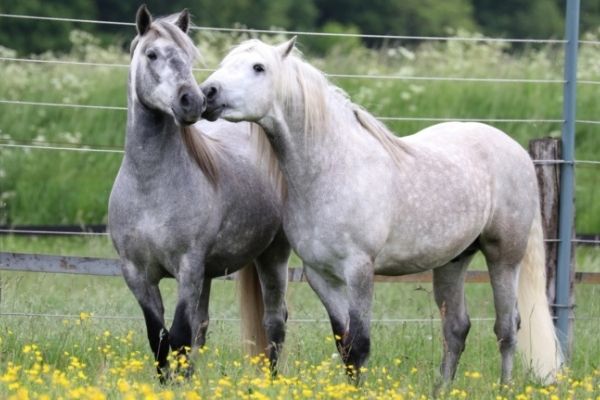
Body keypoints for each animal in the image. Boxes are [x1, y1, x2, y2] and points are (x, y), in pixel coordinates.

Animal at [108, 7, 290, 382]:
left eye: (188, 56)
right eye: (152, 54)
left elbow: (178, 335)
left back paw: (272, 381)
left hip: (273, 256)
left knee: (275, 322)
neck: (149, 187)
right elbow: (159, 337)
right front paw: (167, 383)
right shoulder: (137, 274)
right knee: (201, 327)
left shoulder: (188, 268)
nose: (192, 101)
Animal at [200, 39, 564, 386]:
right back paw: (442, 390)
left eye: (258, 67)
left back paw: (505, 387)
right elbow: (344, 344)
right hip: (453, 261)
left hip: (504, 257)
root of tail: (517, 151)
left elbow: (360, 345)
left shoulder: (360, 270)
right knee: (456, 329)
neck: (332, 168)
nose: (208, 93)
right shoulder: (322, 276)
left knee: (507, 328)